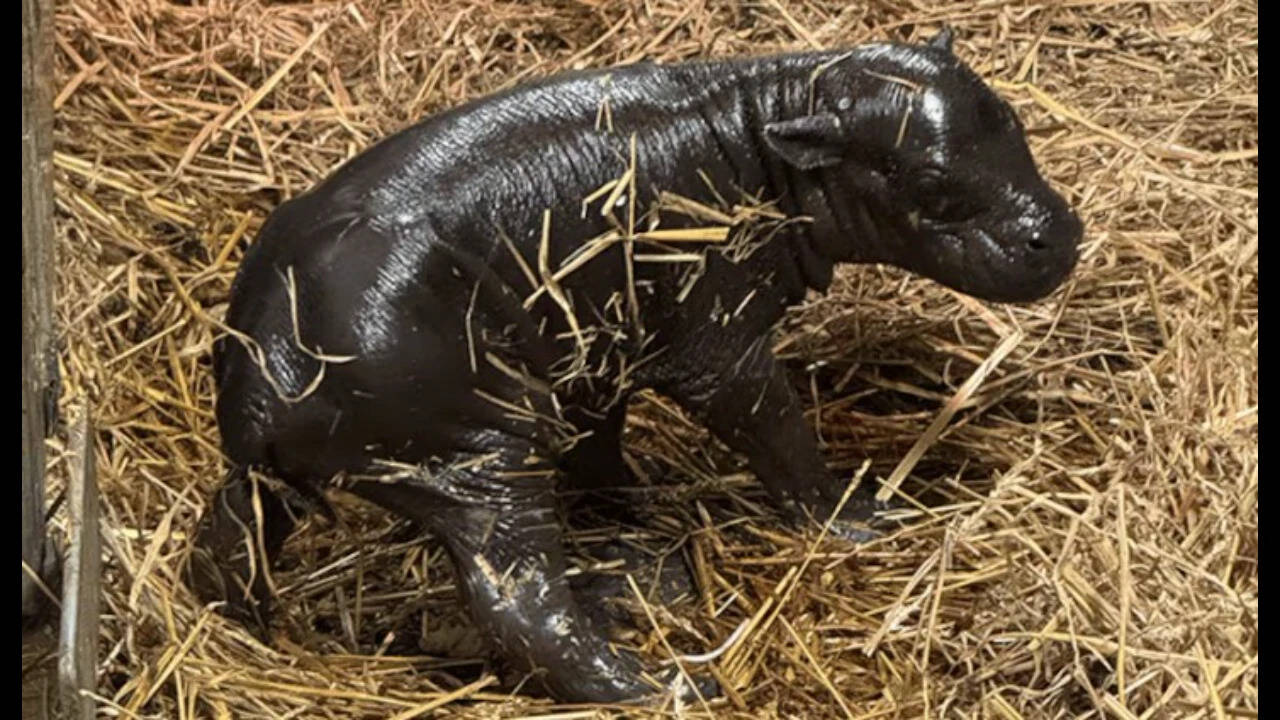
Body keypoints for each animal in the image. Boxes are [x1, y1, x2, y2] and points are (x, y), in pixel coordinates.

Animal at [186, 28, 1081, 703]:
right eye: (927, 177)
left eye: (1011, 117)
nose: (1060, 234)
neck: (766, 127)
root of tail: (266, 372)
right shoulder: (717, 346)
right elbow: (778, 434)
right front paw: (861, 518)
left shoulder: (597, 352)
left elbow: (601, 451)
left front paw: (645, 517)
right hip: (479, 462)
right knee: (522, 607)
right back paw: (668, 686)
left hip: (302, 473)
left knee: (229, 537)